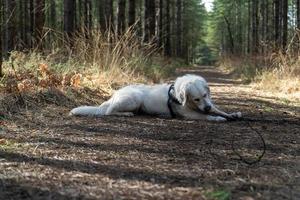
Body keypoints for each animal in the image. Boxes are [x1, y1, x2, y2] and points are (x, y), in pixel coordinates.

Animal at [69, 74, 241, 121]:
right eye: (196, 99)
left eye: (205, 95)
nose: (207, 107)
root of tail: (114, 94)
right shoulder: (189, 113)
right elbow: (207, 116)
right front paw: (217, 118)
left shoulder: (209, 104)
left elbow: (219, 109)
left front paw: (233, 114)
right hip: (133, 98)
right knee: (108, 112)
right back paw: (126, 113)